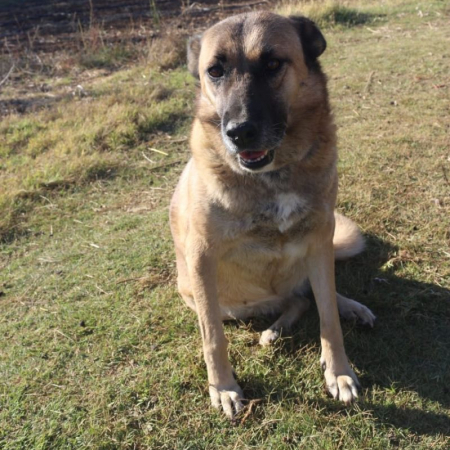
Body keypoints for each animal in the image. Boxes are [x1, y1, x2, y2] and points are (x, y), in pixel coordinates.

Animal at [169, 11, 375, 419]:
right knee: (295, 300)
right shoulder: (202, 259)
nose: (239, 132)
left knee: (313, 295)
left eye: (272, 64)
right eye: (214, 71)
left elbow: (328, 314)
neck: (273, 176)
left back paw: (346, 308)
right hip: (223, 300)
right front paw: (223, 387)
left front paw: (339, 372)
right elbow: (212, 337)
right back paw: (274, 330)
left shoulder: (319, 239)